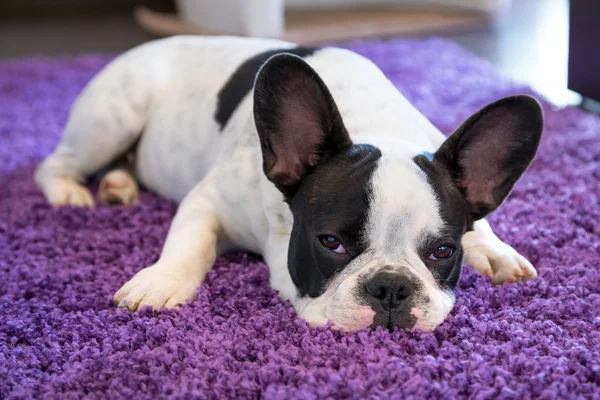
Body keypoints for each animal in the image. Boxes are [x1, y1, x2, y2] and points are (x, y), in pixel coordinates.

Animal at [34, 36, 544, 332]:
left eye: (442, 252)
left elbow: (483, 224)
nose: (391, 287)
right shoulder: (209, 200)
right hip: (113, 118)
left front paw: (495, 251)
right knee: (54, 165)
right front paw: (160, 281)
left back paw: (118, 185)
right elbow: (188, 243)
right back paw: (72, 192)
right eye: (331, 242)